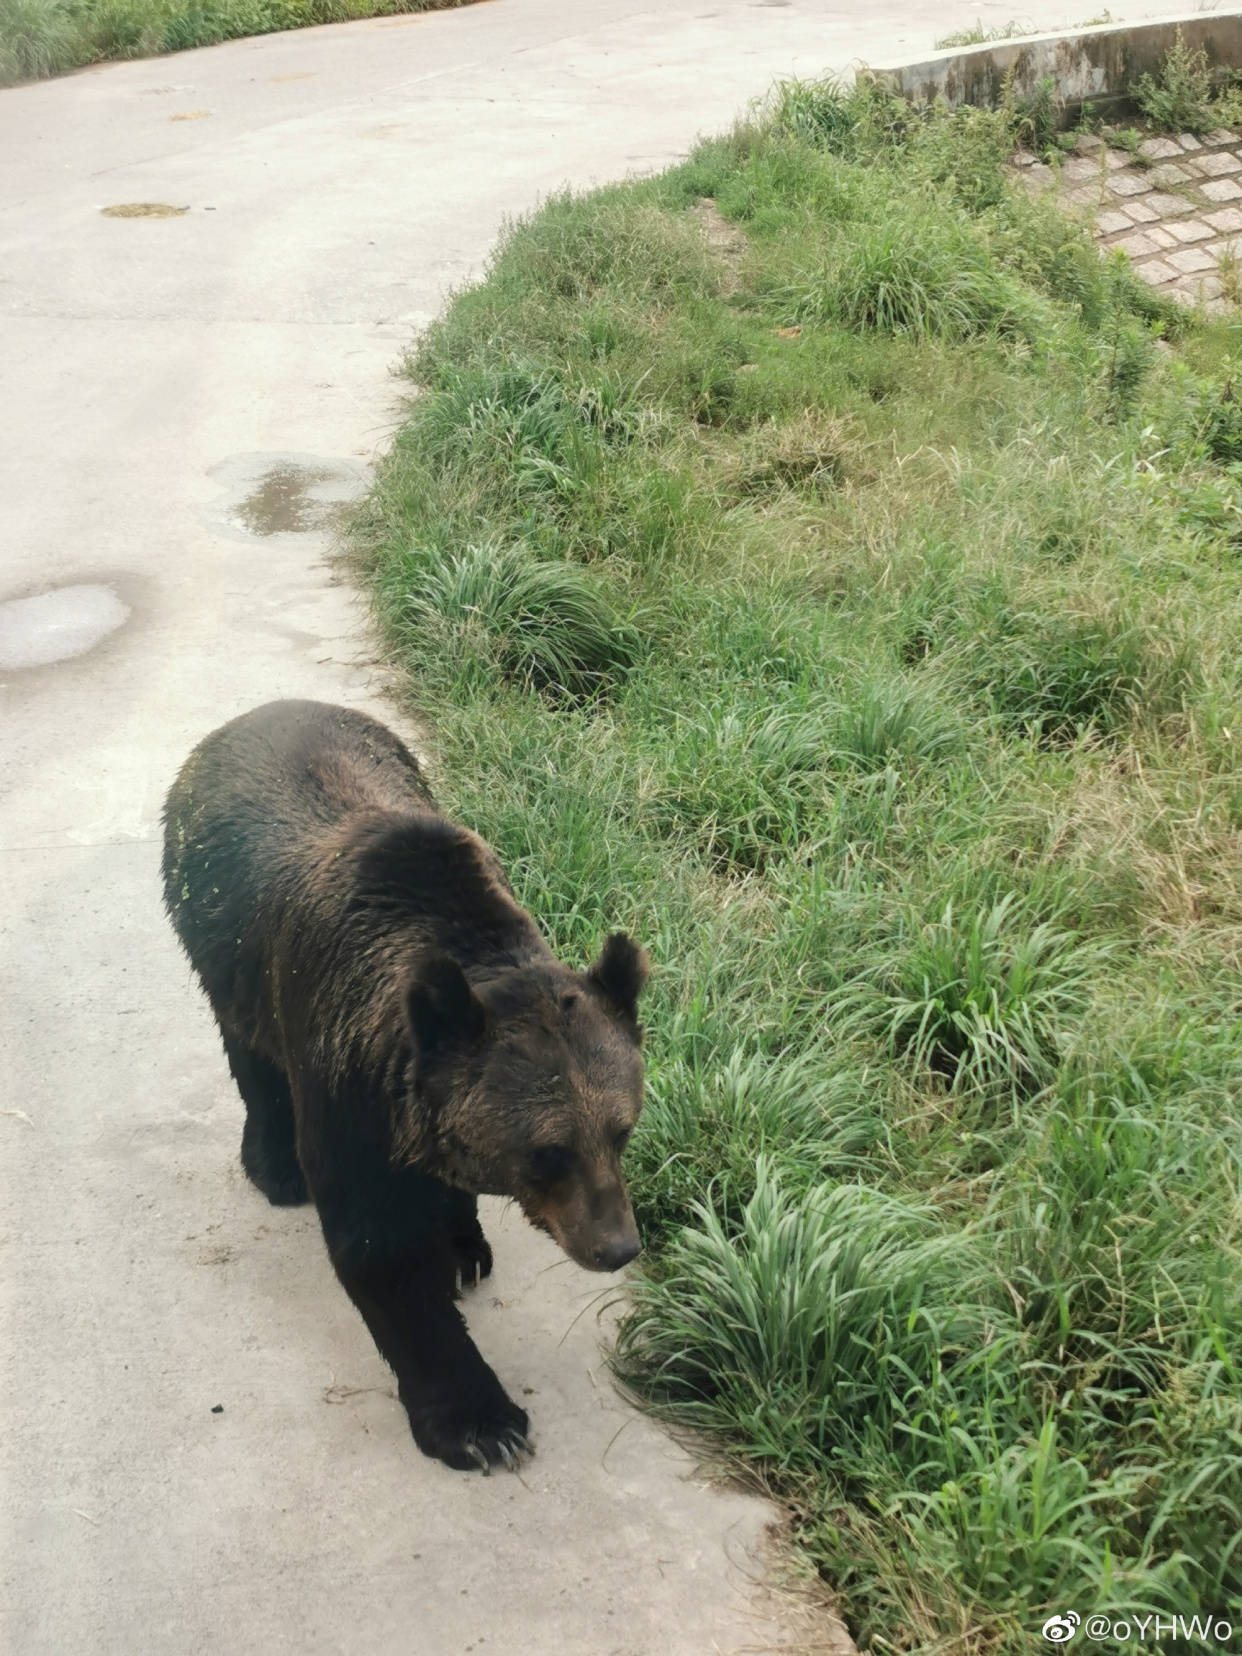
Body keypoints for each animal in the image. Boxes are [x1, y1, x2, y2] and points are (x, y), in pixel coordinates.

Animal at [160, 698, 652, 1477]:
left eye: (622, 1129)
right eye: (548, 1150)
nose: (616, 1246)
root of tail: (252, 713)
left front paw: (462, 1244)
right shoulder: (344, 1070)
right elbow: (380, 1247)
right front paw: (482, 1423)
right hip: (216, 936)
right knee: (251, 1057)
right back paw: (274, 1167)